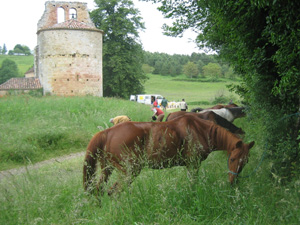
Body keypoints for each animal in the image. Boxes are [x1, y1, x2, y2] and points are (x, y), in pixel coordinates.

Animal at [83, 114, 254, 195]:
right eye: (232, 158)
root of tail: (108, 132)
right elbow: (193, 183)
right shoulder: (193, 164)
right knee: (115, 191)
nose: (233, 182)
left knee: (99, 190)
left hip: (107, 169)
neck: (201, 130)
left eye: (245, 162)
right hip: (129, 171)